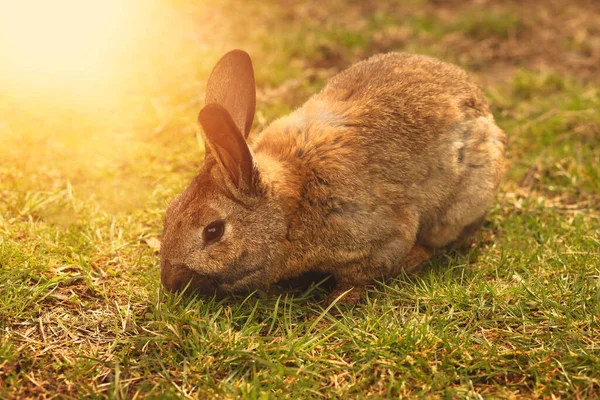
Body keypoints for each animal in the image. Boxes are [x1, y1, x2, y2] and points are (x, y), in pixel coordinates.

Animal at [159, 49, 506, 304]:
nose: (169, 282)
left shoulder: (380, 236)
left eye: (213, 231)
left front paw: (333, 304)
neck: (290, 210)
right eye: (169, 212)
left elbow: (362, 275)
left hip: (464, 201)